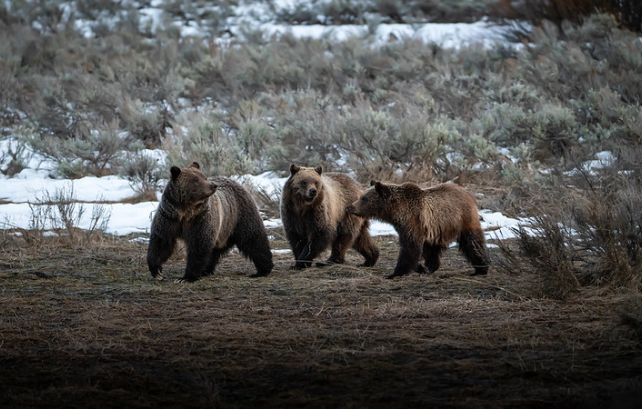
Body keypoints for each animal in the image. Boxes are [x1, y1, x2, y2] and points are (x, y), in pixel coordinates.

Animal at [346, 181, 490, 279]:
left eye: (364, 198)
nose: (350, 207)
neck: (395, 212)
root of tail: (468, 194)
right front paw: (420, 267)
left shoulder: (412, 221)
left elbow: (410, 247)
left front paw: (394, 273)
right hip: (437, 229)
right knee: (432, 251)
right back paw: (429, 268)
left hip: (461, 219)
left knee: (472, 242)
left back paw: (481, 268)